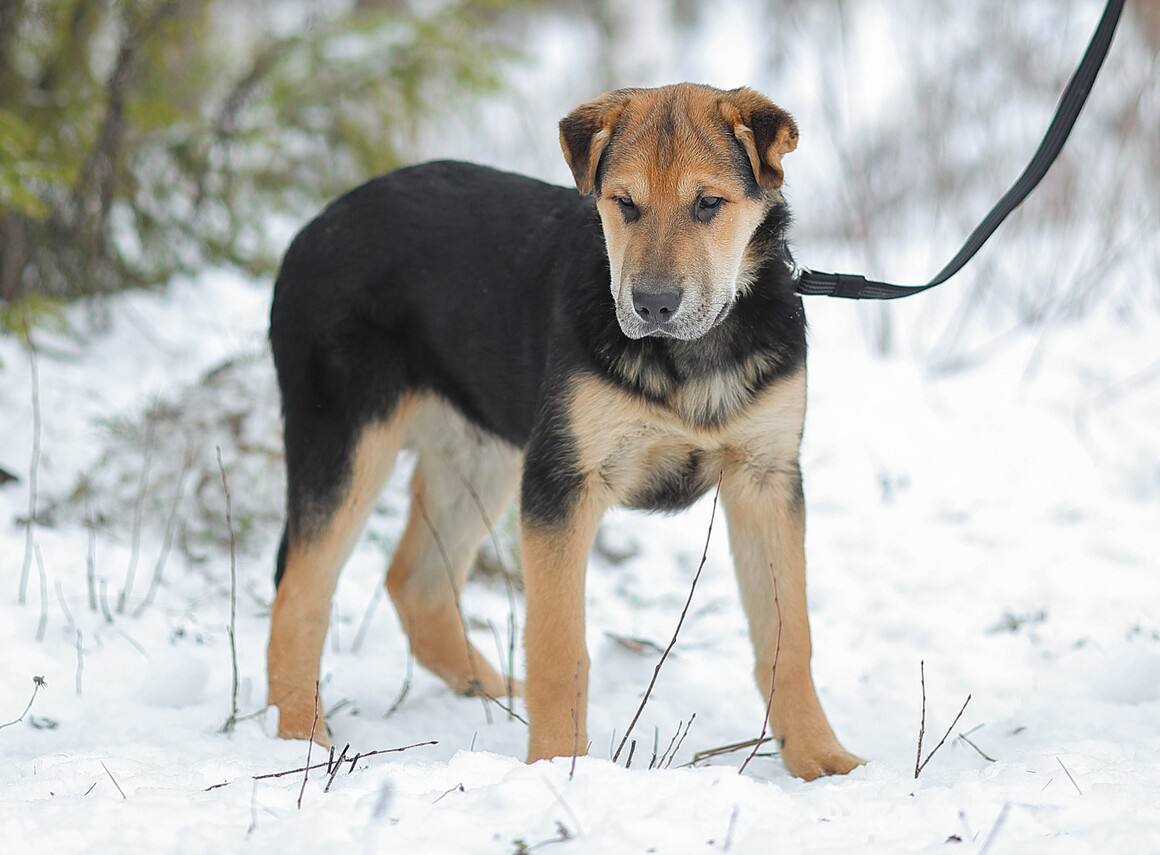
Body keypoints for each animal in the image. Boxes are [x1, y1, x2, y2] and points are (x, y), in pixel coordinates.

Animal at [265, 81, 863, 779]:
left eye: (708, 204)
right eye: (624, 204)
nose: (651, 305)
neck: (690, 356)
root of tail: (312, 228)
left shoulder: (766, 476)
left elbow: (788, 636)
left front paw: (821, 758)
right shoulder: (563, 480)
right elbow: (558, 647)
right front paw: (557, 769)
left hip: (479, 455)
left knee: (416, 582)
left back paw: (491, 696)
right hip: (346, 437)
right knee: (301, 592)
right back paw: (302, 743)